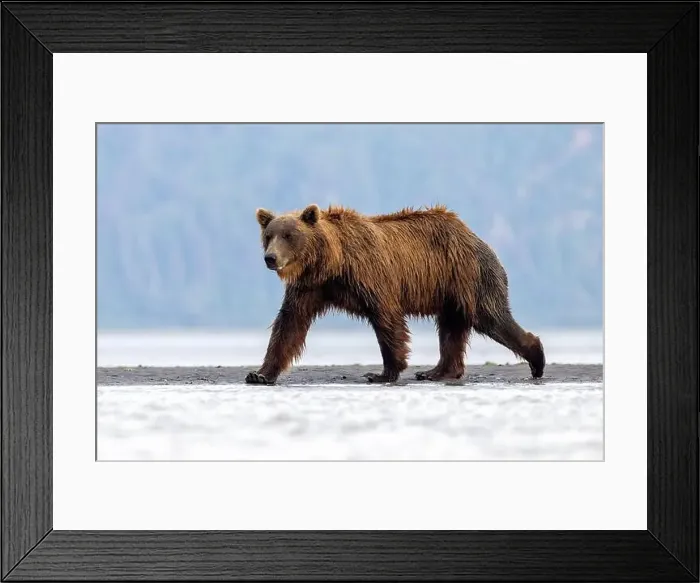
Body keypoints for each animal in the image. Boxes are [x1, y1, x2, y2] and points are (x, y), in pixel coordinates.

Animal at [245, 203, 545, 385]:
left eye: (288, 235)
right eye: (269, 235)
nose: (270, 258)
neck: (331, 263)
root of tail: (474, 235)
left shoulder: (371, 275)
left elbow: (386, 318)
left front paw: (383, 372)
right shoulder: (309, 287)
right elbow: (289, 325)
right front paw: (260, 374)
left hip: (469, 276)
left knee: (491, 316)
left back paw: (537, 357)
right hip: (450, 292)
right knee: (451, 329)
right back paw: (436, 371)